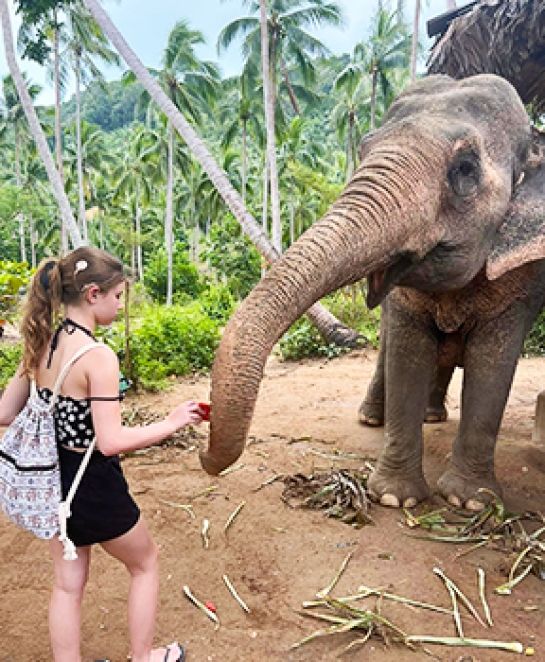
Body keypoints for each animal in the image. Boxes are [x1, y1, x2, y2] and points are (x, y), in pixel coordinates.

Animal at [200, 73, 545, 511]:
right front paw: (397, 499)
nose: (205, 458)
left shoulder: (524, 278)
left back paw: (433, 418)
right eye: (362, 149)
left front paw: (471, 502)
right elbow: (407, 354)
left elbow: (493, 365)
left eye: (465, 168)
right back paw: (377, 418)